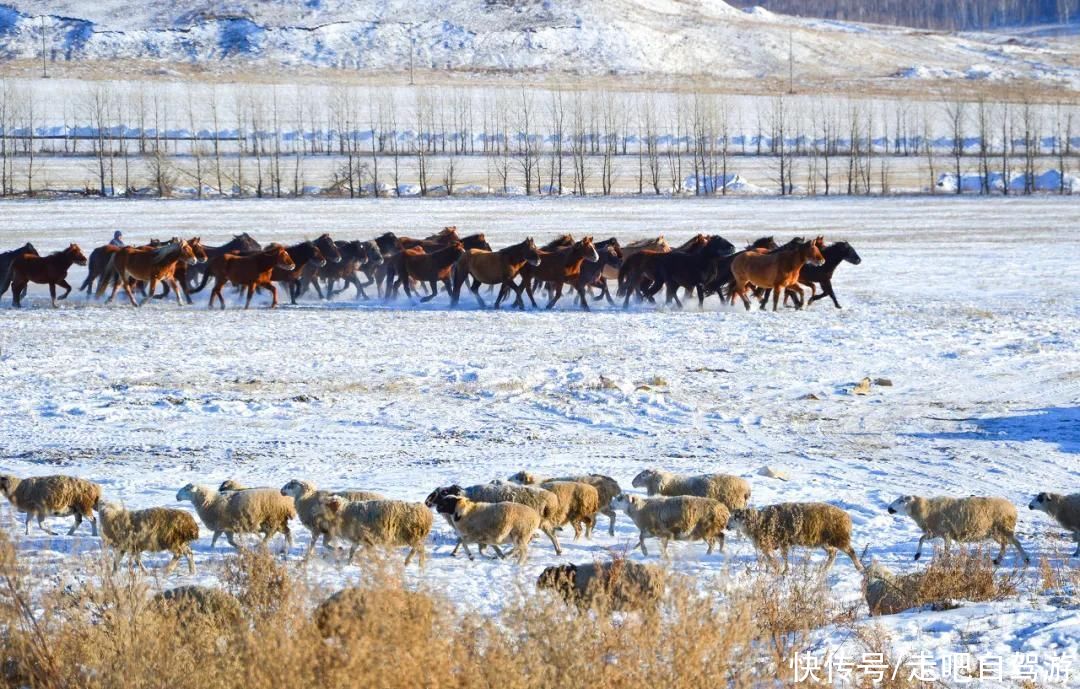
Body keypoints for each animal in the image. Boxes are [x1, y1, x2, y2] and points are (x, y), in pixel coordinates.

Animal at [725, 501, 859, 570]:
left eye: (736, 517)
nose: (726, 526)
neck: (759, 521)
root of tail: (847, 517)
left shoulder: (777, 543)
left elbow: (777, 559)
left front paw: (780, 570)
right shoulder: (777, 544)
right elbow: (776, 558)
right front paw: (779, 569)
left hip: (839, 538)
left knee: (851, 551)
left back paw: (859, 567)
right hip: (825, 541)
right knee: (833, 553)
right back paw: (825, 569)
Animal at [889, 496, 1032, 565]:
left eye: (901, 501)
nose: (889, 509)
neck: (927, 510)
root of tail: (1012, 507)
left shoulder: (946, 533)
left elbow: (946, 548)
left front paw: (946, 560)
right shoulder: (936, 531)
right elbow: (921, 538)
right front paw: (917, 555)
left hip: (1004, 528)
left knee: (1016, 542)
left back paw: (1026, 559)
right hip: (996, 532)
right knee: (1005, 544)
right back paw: (998, 560)